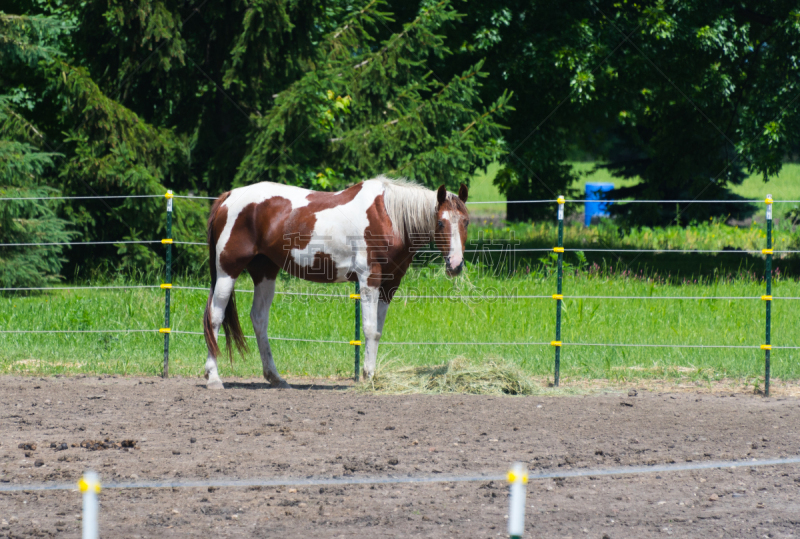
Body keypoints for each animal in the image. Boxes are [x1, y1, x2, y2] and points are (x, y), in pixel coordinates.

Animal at [203, 175, 472, 390]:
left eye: (466, 221)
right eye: (440, 222)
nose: (455, 264)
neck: (387, 216)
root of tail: (227, 197)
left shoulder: (390, 284)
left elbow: (378, 331)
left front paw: (371, 375)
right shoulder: (369, 278)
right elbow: (369, 329)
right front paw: (368, 375)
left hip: (265, 272)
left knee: (259, 319)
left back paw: (275, 378)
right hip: (228, 271)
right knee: (215, 317)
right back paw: (214, 378)